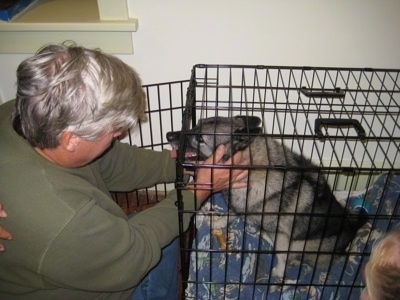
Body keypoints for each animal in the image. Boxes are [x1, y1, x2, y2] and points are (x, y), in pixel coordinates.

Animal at [166, 114, 368, 278]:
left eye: (200, 138)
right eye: (196, 124)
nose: (168, 135)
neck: (250, 167)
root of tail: (351, 226)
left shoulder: (283, 234)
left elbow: (282, 255)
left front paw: (279, 272)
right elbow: (232, 214)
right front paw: (219, 222)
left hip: (304, 246)